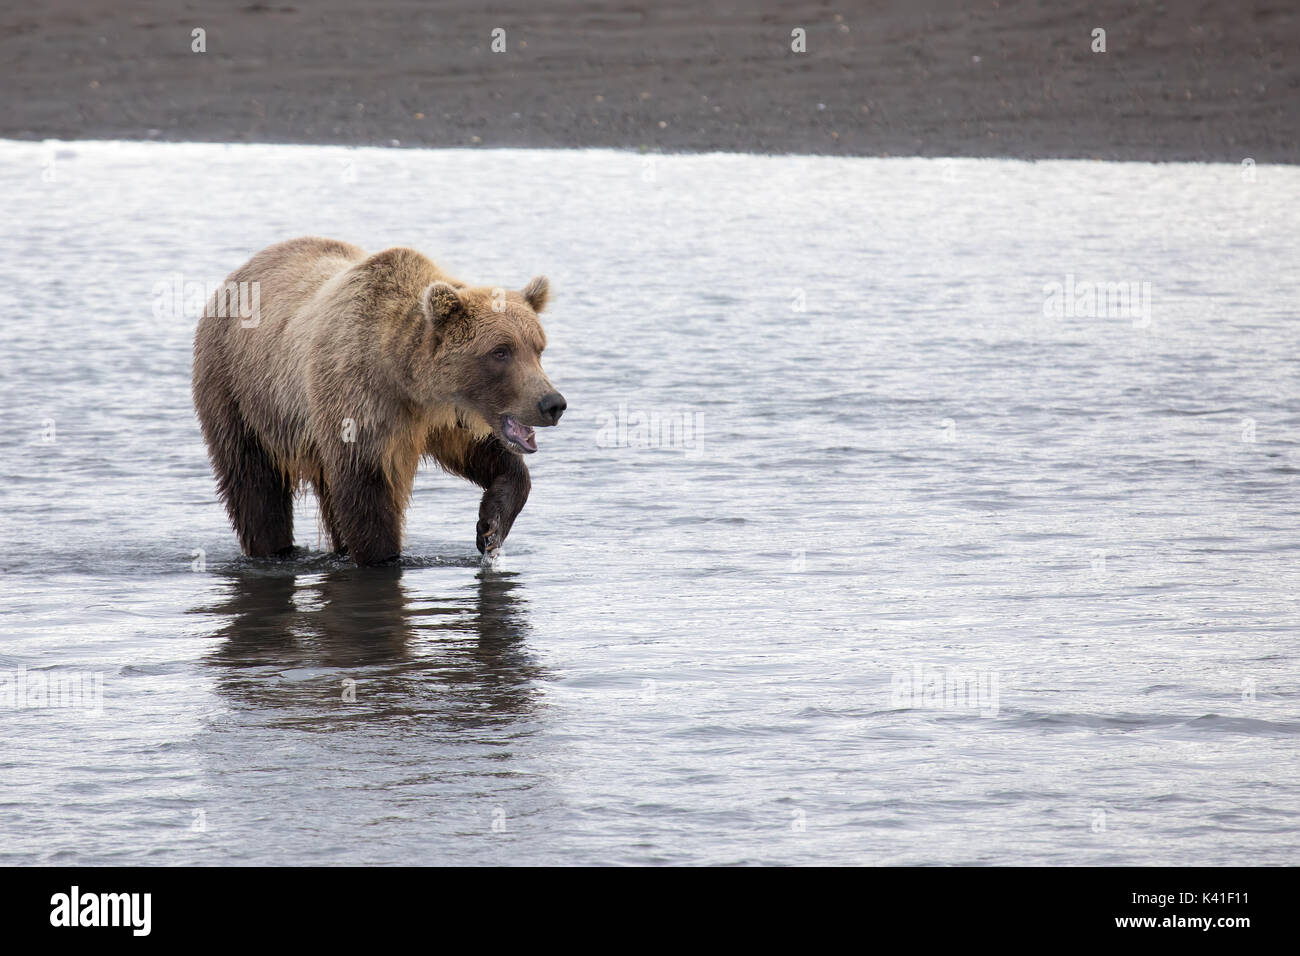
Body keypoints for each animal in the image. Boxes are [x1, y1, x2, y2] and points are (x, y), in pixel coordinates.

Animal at [192, 236, 566, 566]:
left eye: (537, 347)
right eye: (500, 351)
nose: (552, 403)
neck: (404, 378)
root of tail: (233, 277)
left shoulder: (445, 418)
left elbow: (490, 458)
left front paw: (490, 528)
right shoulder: (359, 403)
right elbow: (366, 495)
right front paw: (384, 556)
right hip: (239, 393)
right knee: (254, 485)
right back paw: (273, 548)